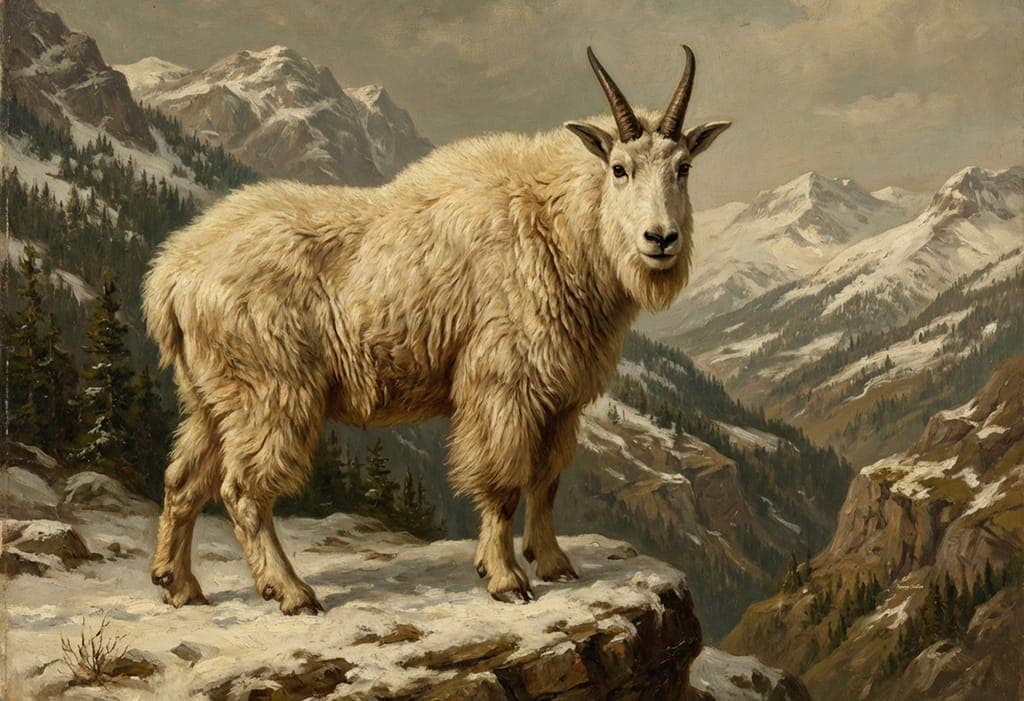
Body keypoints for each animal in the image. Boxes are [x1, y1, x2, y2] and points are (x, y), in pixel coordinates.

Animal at [143, 45, 730, 613]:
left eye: (683, 167)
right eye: (619, 168)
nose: (661, 238)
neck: (552, 225)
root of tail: (172, 274)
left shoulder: (561, 399)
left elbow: (546, 480)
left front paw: (554, 563)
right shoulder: (503, 387)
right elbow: (504, 484)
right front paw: (504, 579)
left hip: (212, 397)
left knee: (181, 480)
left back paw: (179, 585)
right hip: (271, 392)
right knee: (243, 490)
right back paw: (291, 591)